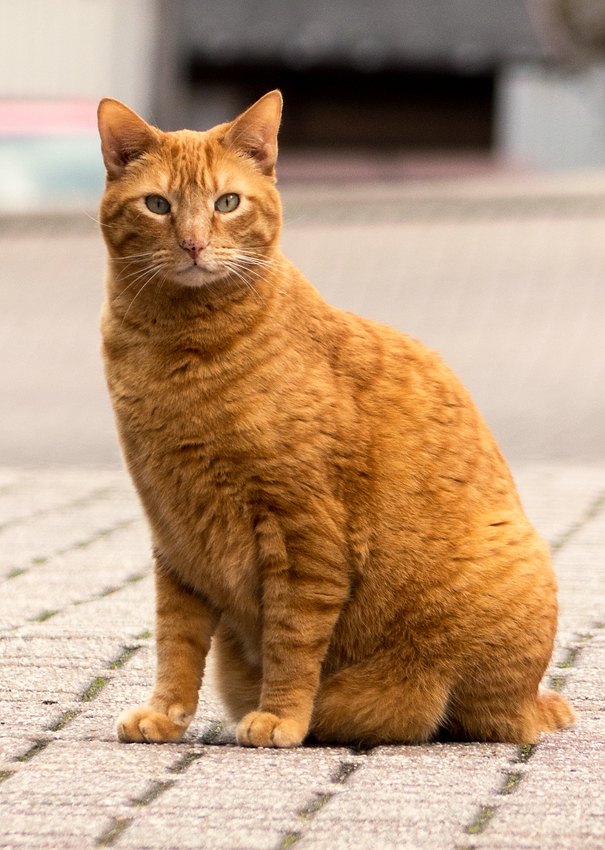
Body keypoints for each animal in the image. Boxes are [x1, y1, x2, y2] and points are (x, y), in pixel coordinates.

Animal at [96, 89, 572, 744]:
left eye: (226, 202)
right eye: (158, 205)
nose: (193, 244)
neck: (173, 350)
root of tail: (535, 699)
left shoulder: (302, 528)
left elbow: (292, 641)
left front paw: (281, 717)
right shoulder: (175, 535)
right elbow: (177, 639)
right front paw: (165, 713)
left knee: (471, 713)